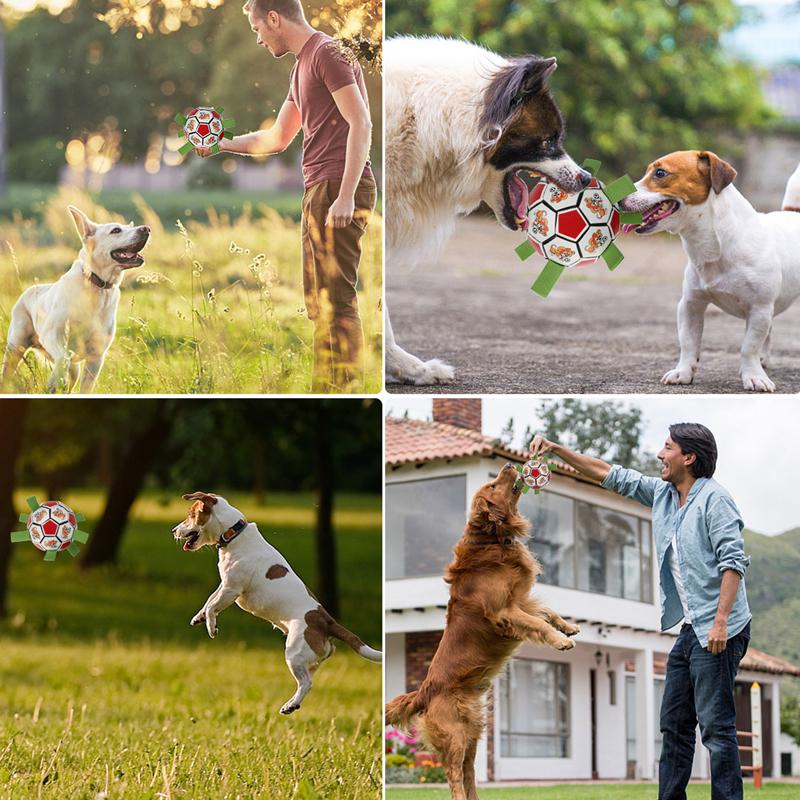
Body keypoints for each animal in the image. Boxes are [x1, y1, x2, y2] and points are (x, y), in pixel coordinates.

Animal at [1, 206, 150, 394]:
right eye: (116, 230)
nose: (146, 229)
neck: (95, 286)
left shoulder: (96, 357)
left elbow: (85, 387)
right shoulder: (52, 334)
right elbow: (63, 356)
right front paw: (55, 380)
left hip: (74, 369)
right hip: (15, 347)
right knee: (8, 372)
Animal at [171, 490, 382, 716]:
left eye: (191, 514)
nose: (173, 530)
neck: (233, 534)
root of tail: (327, 621)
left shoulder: (232, 589)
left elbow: (213, 606)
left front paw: (211, 627)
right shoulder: (224, 585)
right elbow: (210, 600)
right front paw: (199, 617)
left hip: (294, 653)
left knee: (306, 683)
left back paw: (290, 705)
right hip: (310, 660)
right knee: (309, 678)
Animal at [384, 462, 580, 800]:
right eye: (492, 486)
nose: (509, 464)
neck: (492, 540)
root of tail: (424, 691)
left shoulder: (520, 602)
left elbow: (547, 612)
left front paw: (568, 627)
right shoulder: (506, 612)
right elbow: (539, 622)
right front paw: (560, 641)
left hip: (473, 733)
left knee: (468, 772)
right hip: (455, 735)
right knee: (453, 774)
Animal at [620, 152, 800, 392]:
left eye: (660, 173)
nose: (617, 200)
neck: (716, 245)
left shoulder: (759, 309)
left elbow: (749, 346)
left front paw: (753, 376)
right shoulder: (690, 304)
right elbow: (688, 343)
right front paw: (683, 372)